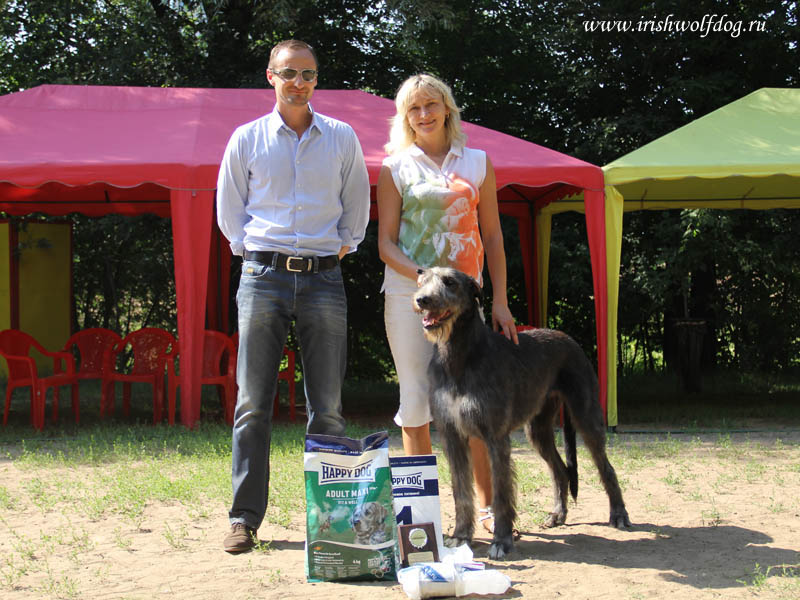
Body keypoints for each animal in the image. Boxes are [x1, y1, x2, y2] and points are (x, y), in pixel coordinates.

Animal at [412, 266, 632, 556]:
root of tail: (568, 339)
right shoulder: (452, 436)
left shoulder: (495, 438)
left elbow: (501, 493)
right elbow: (461, 491)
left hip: (586, 416)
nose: (422, 300)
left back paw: (619, 514)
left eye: (449, 282)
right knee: (560, 469)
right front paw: (460, 536)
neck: (460, 356)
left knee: (606, 466)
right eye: (422, 280)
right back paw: (557, 514)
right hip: (538, 428)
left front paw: (502, 541)